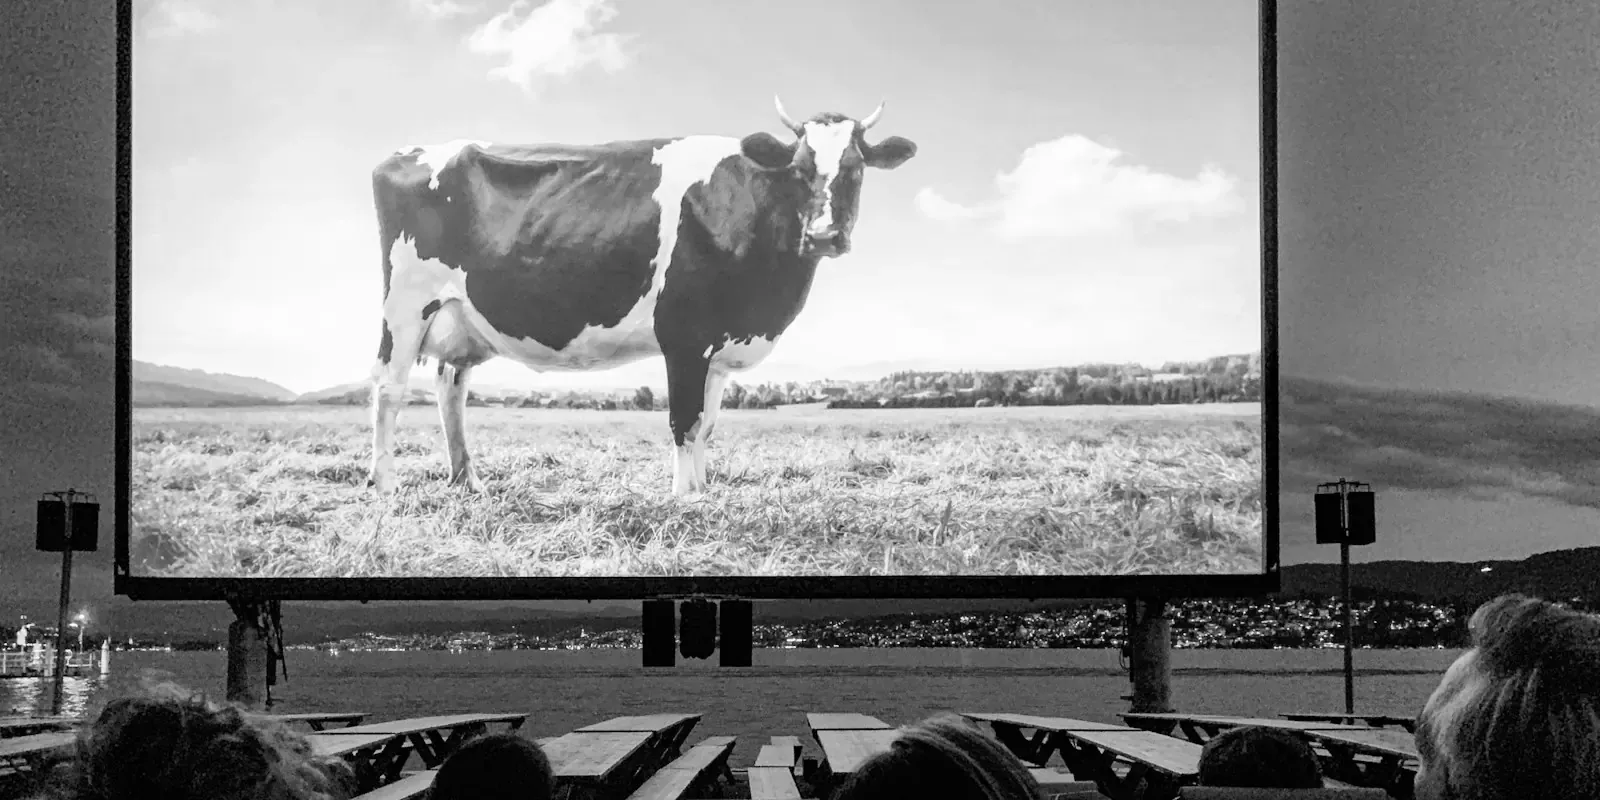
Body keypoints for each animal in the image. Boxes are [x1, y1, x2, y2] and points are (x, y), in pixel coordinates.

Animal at [367, 98, 917, 496]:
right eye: (800, 169)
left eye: (856, 168)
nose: (825, 236)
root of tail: (405, 152)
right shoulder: (685, 336)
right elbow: (683, 421)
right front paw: (683, 497)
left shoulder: (718, 346)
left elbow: (707, 423)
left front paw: (703, 491)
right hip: (405, 305)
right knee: (389, 388)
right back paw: (386, 485)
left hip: (460, 316)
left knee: (451, 387)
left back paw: (467, 481)